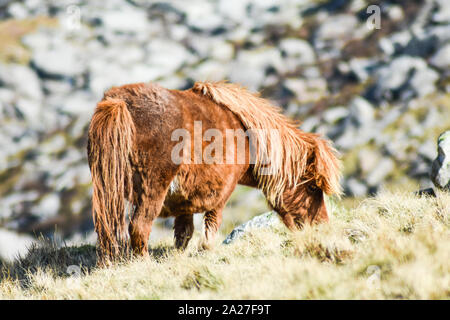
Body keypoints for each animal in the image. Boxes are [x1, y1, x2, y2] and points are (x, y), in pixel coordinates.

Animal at [88, 81, 342, 264]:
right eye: (312, 186)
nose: (322, 227)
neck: (248, 136)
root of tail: (118, 102)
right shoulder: (220, 196)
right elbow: (210, 229)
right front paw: (206, 252)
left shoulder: (184, 203)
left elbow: (184, 234)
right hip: (151, 190)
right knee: (139, 227)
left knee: (107, 230)